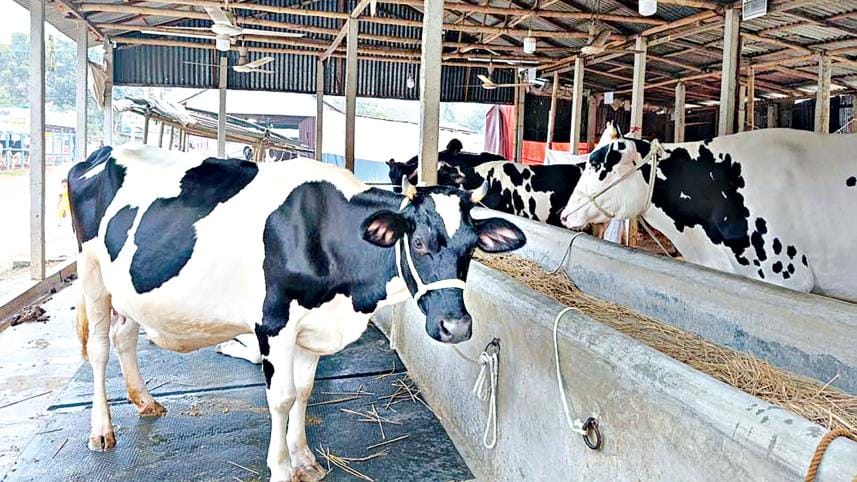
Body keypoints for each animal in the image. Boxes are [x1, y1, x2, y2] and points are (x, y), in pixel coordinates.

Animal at [67, 144, 526, 481]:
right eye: (418, 243)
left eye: (471, 249)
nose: (456, 325)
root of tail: (102, 150)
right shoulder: (274, 323)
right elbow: (282, 397)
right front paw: (281, 468)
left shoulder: (312, 326)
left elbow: (304, 391)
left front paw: (304, 459)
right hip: (91, 272)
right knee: (100, 348)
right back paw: (101, 430)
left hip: (127, 289)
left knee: (125, 336)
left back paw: (145, 401)